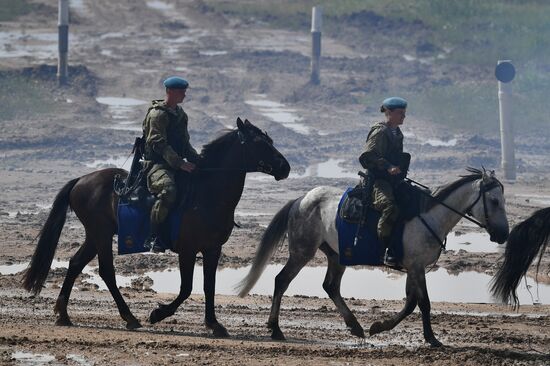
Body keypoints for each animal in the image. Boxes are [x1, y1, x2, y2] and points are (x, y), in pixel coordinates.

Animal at [23, 118, 294, 336]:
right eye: (260, 143)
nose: (285, 167)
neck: (206, 193)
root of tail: (81, 180)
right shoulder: (187, 250)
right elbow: (186, 288)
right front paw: (158, 314)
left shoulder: (212, 249)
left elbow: (209, 286)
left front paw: (214, 324)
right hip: (101, 234)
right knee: (106, 271)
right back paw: (129, 317)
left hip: (95, 235)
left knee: (76, 263)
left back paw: (63, 314)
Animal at [239, 168, 512, 346]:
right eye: (494, 201)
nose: (503, 234)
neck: (428, 215)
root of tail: (301, 200)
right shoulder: (416, 267)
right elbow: (423, 303)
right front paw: (432, 338)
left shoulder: (413, 267)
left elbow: (410, 302)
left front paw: (379, 326)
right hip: (302, 252)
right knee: (282, 281)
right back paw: (275, 329)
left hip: (337, 255)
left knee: (330, 286)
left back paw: (355, 325)